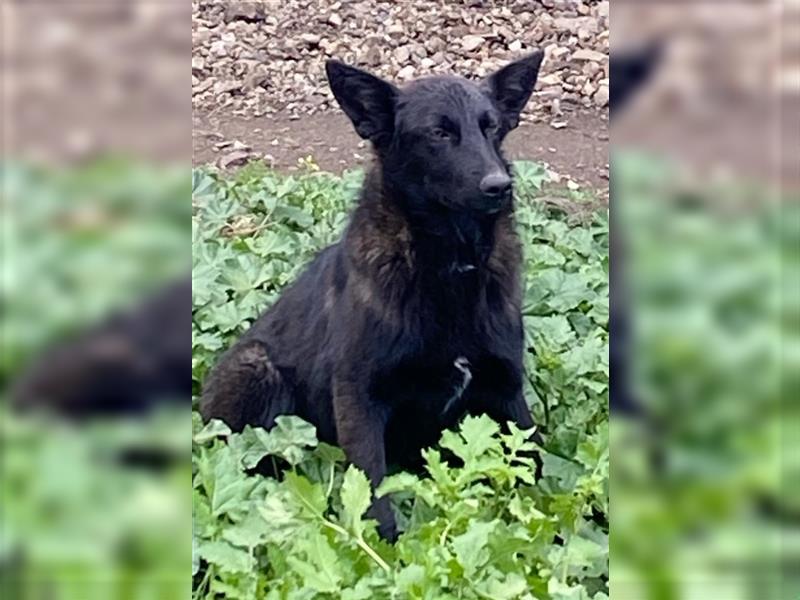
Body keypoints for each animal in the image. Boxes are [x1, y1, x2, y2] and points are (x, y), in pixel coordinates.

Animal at [203, 52, 548, 540]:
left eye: (492, 127)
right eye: (439, 133)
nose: (500, 186)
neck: (448, 267)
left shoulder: (506, 391)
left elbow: (538, 476)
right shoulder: (359, 402)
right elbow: (373, 496)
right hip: (258, 372)